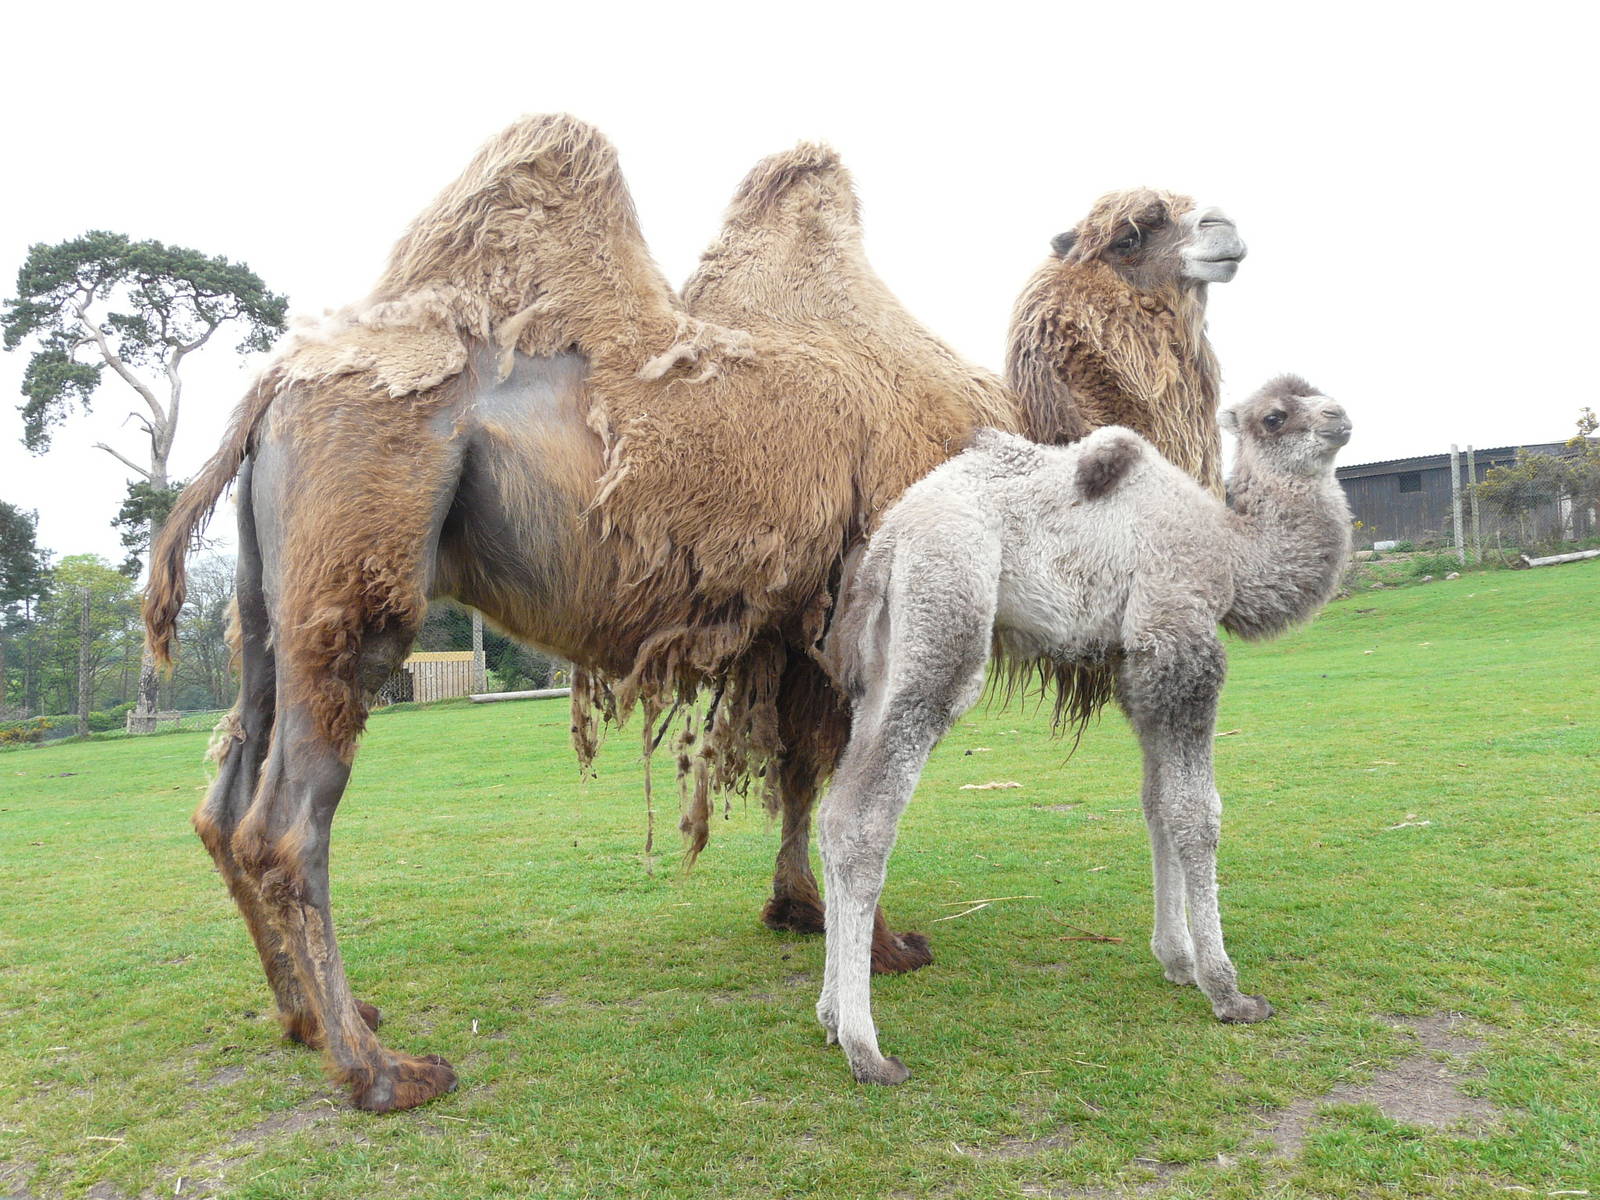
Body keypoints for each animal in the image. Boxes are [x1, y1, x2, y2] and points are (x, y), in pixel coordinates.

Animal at [144, 114, 1245, 1110]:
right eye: (1131, 231)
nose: (1228, 228)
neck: (1013, 440)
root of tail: (268, 394)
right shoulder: (878, 600)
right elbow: (856, 788)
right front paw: (886, 948)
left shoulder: (800, 628)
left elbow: (804, 768)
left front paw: (797, 910)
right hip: (358, 566)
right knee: (287, 821)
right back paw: (381, 1071)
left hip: (265, 601)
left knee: (224, 796)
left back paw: (310, 1021)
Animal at [814, 376, 1353, 1085]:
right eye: (1275, 416)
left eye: (1320, 395)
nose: (1341, 417)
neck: (1231, 550)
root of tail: (889, 538)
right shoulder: (1177, 641)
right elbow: (1196, 814)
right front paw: (1228, 990)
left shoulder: (1135, 665)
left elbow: (1156, 805)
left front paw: (1177, 960)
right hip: (948, 605)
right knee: (865, 818)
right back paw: (868, 1051)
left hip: (880, 665)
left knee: (833, 809)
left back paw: (828, 1017)